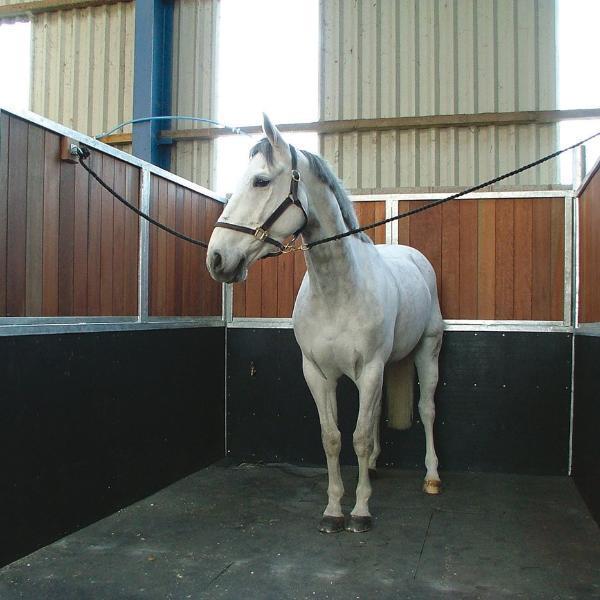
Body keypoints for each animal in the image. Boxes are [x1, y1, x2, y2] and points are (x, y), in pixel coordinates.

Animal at [209, 115, 442, 532]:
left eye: (261, 181)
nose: (216, 258)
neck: (337, 291)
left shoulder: (369, 369)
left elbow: (359, 437)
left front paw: (361, 511)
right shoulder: (318, 373)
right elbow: (332, 438)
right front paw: (334, 510)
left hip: (427, 352)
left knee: (428, 409)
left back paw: (432, 477)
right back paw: (375, 468)